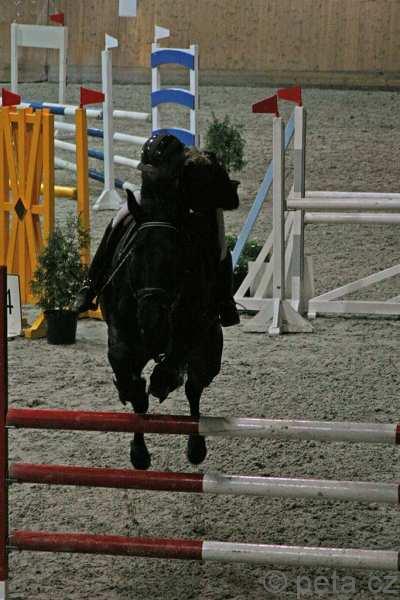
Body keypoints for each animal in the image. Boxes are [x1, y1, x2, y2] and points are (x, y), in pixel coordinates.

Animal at [100, 186, 223, 470]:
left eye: (176, 259)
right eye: (135, 253)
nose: (151, 327)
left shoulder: (193, 330)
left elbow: (171, 368)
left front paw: (164, 381)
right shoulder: (120, 334)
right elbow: (129, 379)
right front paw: (139, 454)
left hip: (210, 353)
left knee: (195, 387)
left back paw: (196, 448)